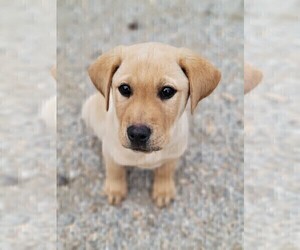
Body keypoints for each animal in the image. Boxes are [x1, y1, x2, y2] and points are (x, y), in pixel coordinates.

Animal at [81, 43, 220, 207]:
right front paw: (115, 190)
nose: (137, 134)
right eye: (124, 88)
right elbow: (114, 171)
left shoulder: (174, 154)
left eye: (167, 91)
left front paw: (163, 190)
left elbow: (165, 171)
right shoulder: (110, 152)